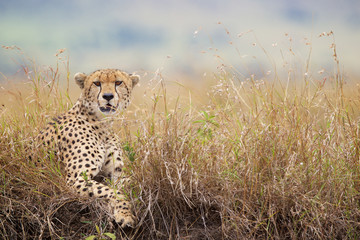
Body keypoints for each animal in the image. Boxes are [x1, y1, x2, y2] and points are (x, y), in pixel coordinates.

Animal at [39, 69, 139, 227]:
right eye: (97, 83)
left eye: (118, 82)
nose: (108, 96)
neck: (103, 125)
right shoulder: (76, 179)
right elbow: (112, 192)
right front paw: (125, 215)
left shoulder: (115, 175)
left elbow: (130, 180)